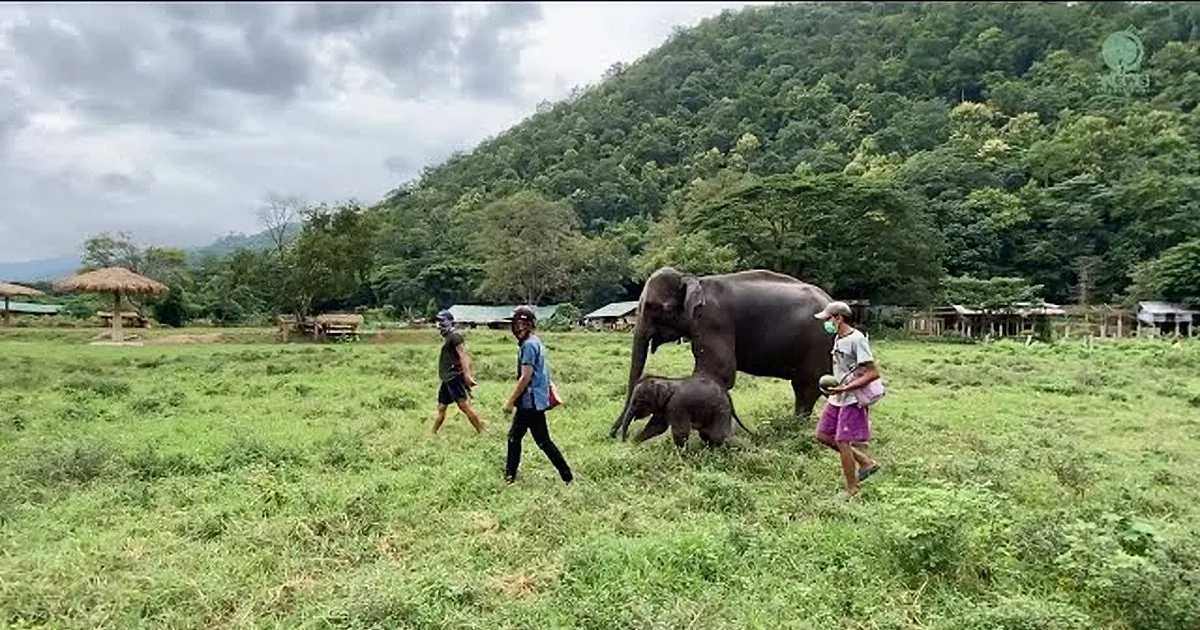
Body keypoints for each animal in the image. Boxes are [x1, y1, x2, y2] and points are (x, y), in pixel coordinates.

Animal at [610, 267, 835, 439]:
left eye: (654, 307)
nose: (613, 435)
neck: (693, 278)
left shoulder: (713, 321)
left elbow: (720, 373)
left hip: (817, 346)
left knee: (806, 390)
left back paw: (795, 429)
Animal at [620, 372, 753, 449]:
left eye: (638, 401)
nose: (625, 438)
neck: (667, 381)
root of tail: (725, 391)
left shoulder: (676, 405)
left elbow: (680, 431)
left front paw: (682, 455)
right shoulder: (664, 407)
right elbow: (657, 427)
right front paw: (634, 443)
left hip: (720, 410)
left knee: (718, 436)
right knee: (707, 435)